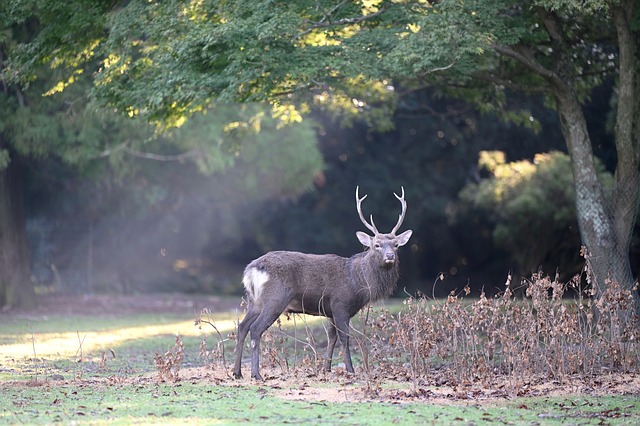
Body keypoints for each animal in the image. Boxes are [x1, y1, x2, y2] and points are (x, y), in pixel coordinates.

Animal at [232, 186, 412, 380]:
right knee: (255, 329)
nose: (390, 256)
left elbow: (331, 338)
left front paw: (327, 368)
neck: (358, 282)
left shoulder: (331, 311)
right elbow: (344, 338)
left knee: (242, 327)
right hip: (275, 299)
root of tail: (251, 270)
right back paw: (256, 374)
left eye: (396, 245)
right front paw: (350, 369)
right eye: (377, 245)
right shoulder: (340, 304)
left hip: (254, 301)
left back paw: (237, 372)